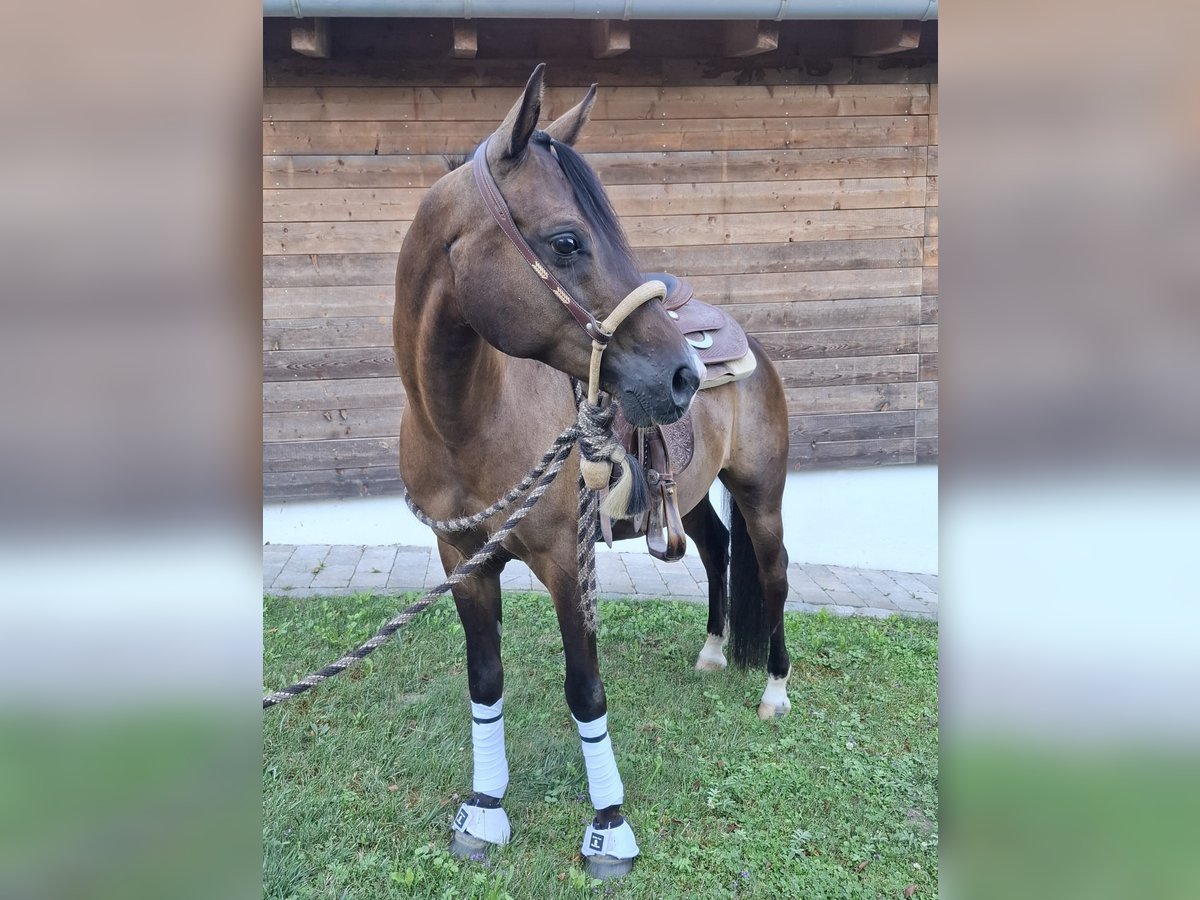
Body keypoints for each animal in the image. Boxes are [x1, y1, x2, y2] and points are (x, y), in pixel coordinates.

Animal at [388, 65, 792, 883]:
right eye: (568, 240)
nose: (681, 375)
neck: (465, 422)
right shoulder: (461, 561)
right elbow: (485, 680)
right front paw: (484, 811)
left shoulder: (566, 564)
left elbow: (585, 688)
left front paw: (609, 826)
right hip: (689, 500)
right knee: (713, 553)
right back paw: (710, 654)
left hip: (762, 496)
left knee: (772, 576)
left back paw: (775, 692)